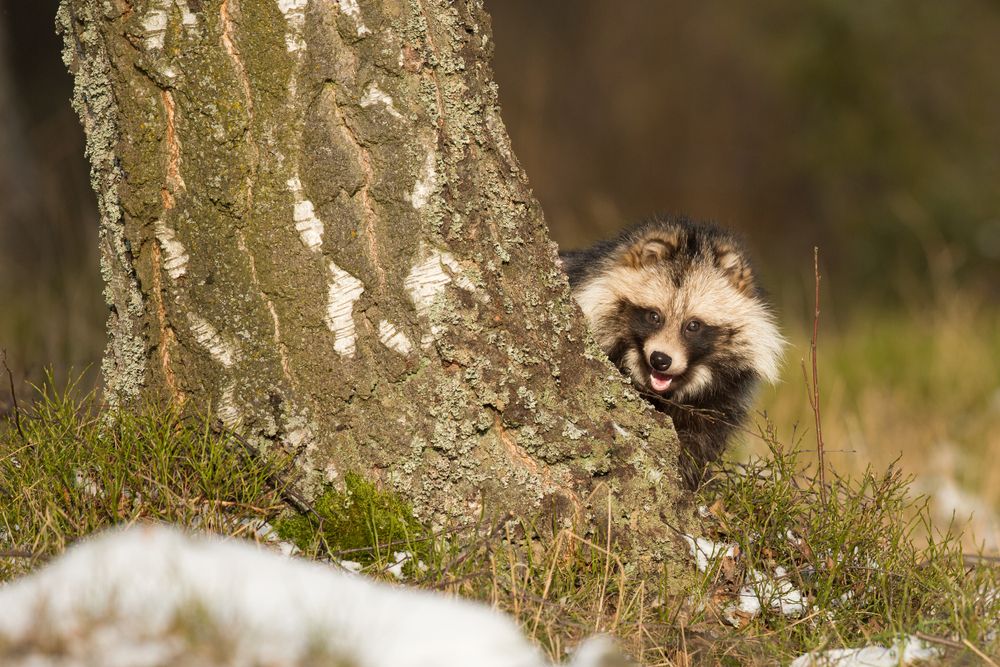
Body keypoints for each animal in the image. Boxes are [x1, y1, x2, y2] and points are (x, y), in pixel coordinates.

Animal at [564, 217, 780, 488]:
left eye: (693, 325)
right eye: (653, 316)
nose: (660, 360)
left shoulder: (718, 404)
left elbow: (698, 444)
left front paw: (691, 480)